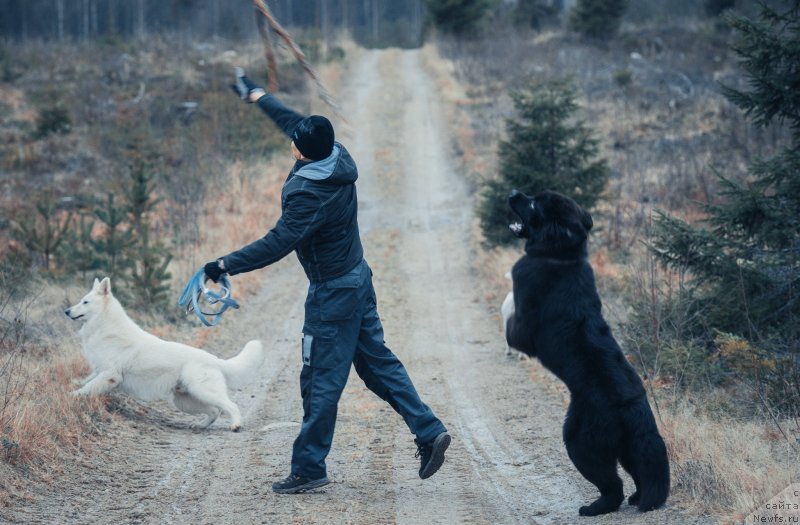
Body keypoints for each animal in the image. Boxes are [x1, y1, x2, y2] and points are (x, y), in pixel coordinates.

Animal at [66, 274, 266, 430]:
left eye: (85, 302)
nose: (67, 311)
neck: (105, 326)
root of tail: (215, 359)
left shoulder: (109, 375)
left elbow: (86, 389)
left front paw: (72, 396)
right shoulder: (100, 371)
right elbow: (86, 381)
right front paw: (72, 386)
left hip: (203, 392)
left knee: (231, 406)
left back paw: (236, 424)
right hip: (185, 401)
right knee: (215, 411)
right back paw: (200, 425)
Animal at [506, 189, 668, 516]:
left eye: (533, 202)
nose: (513, 193)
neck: (562, 256)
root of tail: (630, 407)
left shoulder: (523, 326)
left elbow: (511, 324)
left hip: (581, 441)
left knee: (611, 484)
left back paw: (595, 507)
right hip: (630, 446)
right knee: (638, 473)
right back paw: (638, 498)